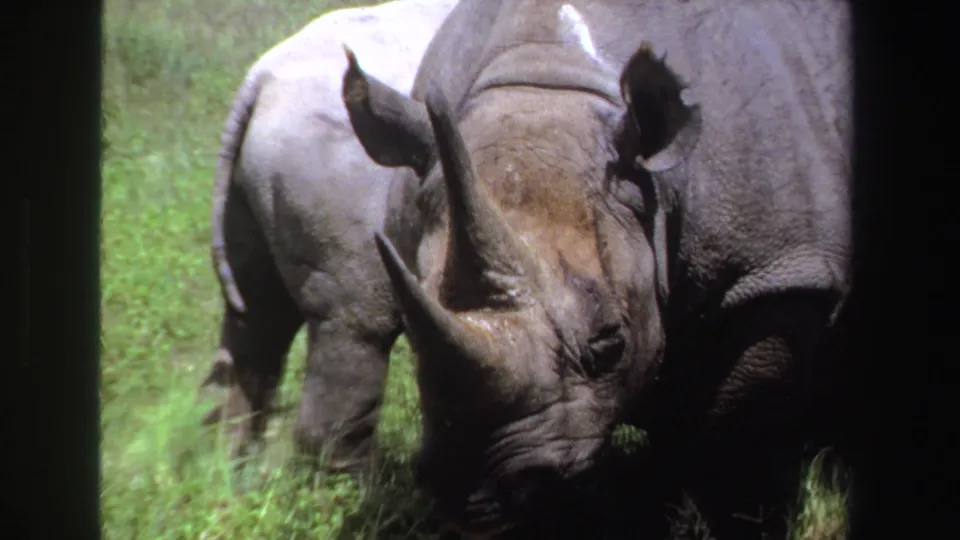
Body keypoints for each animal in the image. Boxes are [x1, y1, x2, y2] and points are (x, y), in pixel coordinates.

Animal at [199, 0, 459, 473]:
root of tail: (261, 80)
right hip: (338, 184)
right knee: (355, 328)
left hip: (248, 194)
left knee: (255, 322)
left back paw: (230, 472)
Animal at [342, 0, 852, 536]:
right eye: (415, 344)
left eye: (611, 344)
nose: (475, 501)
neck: (549, 80)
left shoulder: (775, 275)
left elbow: (735, 437)